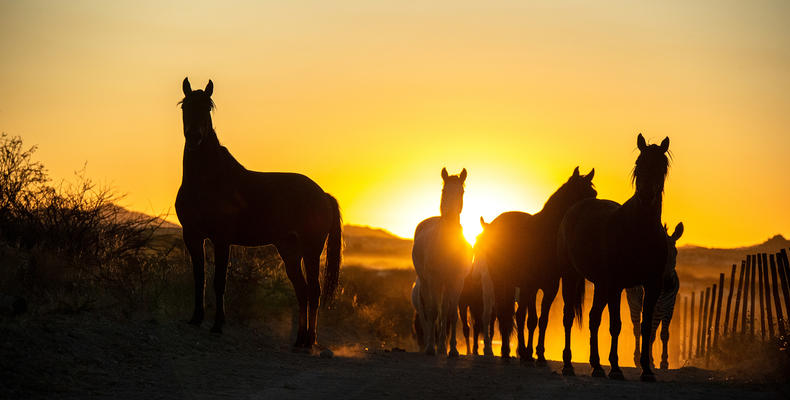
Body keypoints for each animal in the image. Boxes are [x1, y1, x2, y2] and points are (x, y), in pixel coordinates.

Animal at [176, 77, 344, 350]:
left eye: (208, 107)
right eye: (184, 105)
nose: (194, 137)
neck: (207, 180)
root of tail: (323, 195)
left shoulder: (222, 240)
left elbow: (219, 281)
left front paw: (217, 325)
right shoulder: (192, 236)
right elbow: (199, 278)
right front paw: (196, 318)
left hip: (311, 250)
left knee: (314, 292)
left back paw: (310, 341)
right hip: (289, 251)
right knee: (302, 291)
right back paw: (299, 340)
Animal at [412, 167, 474, 354]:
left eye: (461, 192)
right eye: (444, 190)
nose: (450, 216)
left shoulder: (457, 281)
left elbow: (452, 314)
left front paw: (452, 349)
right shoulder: (434, 280)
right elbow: (433, 312)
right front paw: (430, 348)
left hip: (446, 285)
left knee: (444, 312)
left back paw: (442, 347)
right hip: (428, 283)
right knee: (432, 312)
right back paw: (434, 346)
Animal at [482, 167, 600, 360]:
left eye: (594, 194)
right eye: (581, 193)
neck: (544, 236)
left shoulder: (549, 288)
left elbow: (541, 320)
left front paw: (539, 353)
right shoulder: (530, 286)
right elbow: (528, 319)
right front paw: (526, 352)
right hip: (501, 281)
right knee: (503, 312)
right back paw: (507, 350)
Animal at [556, 134, 676, 382]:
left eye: (662, 167)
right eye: (639, 164)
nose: (647, 196)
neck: (638, 232)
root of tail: (575, 208)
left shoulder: (652, 285)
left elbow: (646, 326)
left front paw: (647, 370)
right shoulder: (617, 285)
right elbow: (615, 325)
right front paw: (616, 369)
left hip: (600, 285)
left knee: (593, 318)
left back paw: (596, 366)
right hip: (571, 276)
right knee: (569, 316)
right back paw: (568, 365)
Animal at [628, 222, 684, 368]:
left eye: (676, 253)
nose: (669, 284)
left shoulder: (669, 306)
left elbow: (663, 334)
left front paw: (663, 362)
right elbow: (647, 332)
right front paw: (648, 360)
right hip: (634, 302)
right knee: (637, 328)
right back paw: (637, 358)